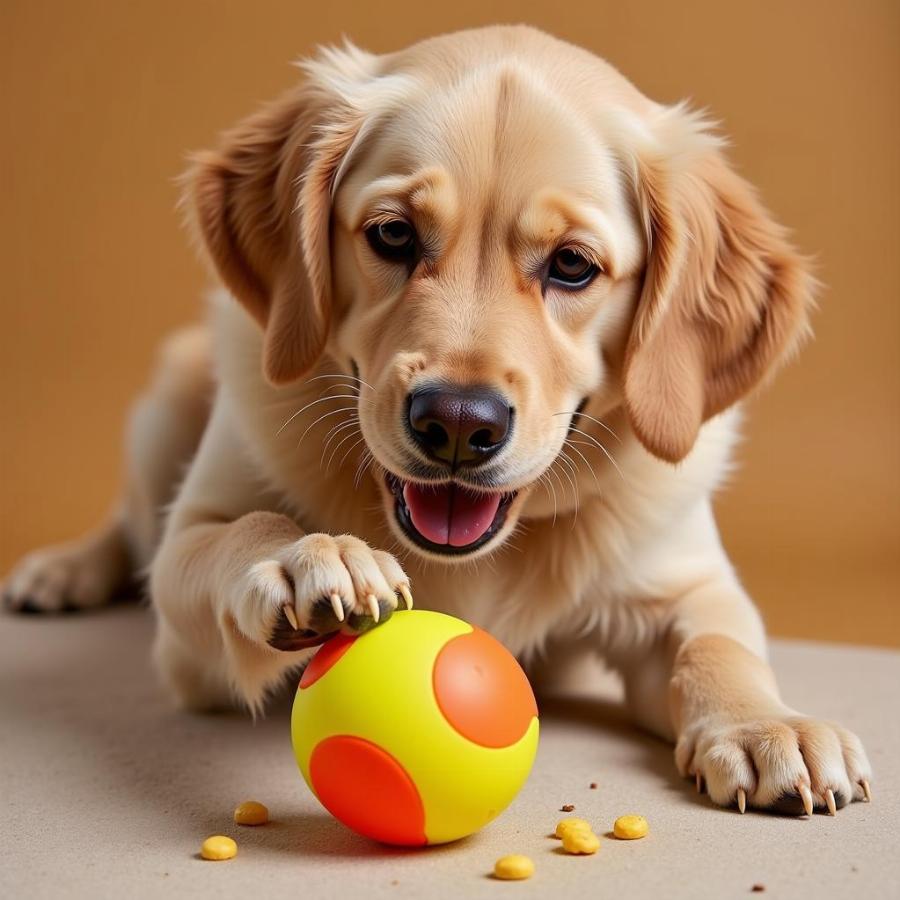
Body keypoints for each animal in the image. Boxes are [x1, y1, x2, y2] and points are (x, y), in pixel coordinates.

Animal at [1, 26, 872, 816]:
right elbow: (233, 533)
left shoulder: (683, 579)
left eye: (572, 265)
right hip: (164, 408)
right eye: (393, 234)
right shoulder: (192, 636)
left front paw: (769, 726)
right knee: (130, 527)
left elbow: (720, 642)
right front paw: (308, 557)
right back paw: (62, 571)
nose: (457, 423)